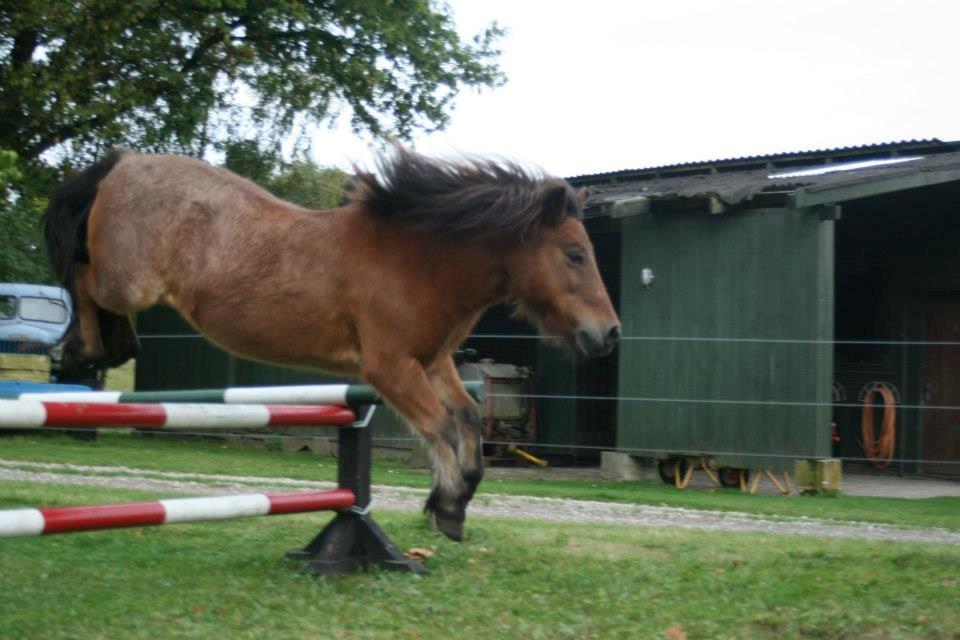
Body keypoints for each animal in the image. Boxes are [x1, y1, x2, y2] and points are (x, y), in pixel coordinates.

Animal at [43, 145, 616, 540]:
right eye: (574, 254)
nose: (608, 334)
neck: (417, 260)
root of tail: (124, 162)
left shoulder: (432, 362)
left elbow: (468, 420)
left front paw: (452, 505)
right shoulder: (390, 368)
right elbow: (439, 427)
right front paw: (448, 503)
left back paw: (112, 346)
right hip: (128, 281)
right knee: (83, 277)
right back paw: (82, 348)